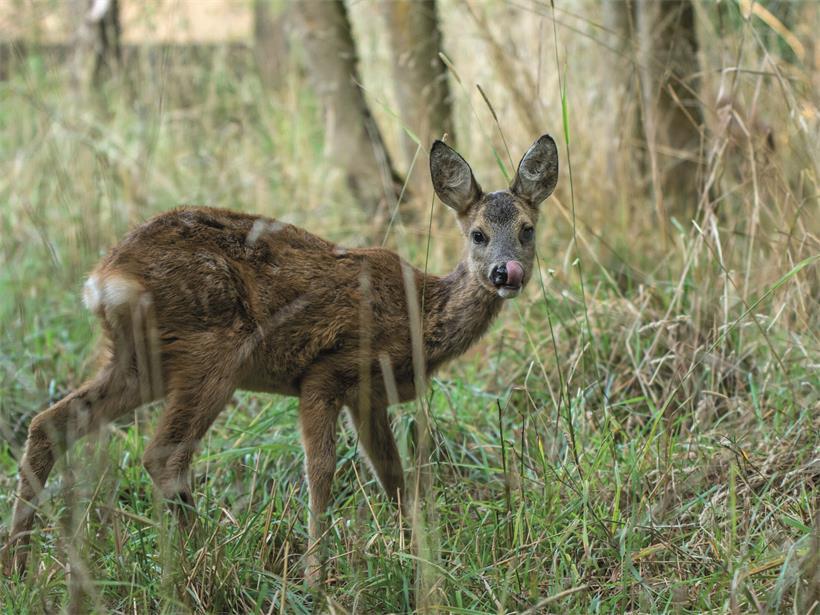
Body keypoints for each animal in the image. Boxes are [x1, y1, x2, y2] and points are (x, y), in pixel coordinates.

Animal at [3, 134, 558, 586]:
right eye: (477, 234)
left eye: (528, 229)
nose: (505, 273)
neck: (420, 316)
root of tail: (106, 278)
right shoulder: (326, 372)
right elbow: (322, 471)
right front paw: (316, 576)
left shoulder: (369, 394)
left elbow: (392, 474)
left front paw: (416, 557)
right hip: (213, 348)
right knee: (164, 454)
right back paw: (208, 561)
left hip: (141, 361)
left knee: (52, 422)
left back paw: (19, 566)